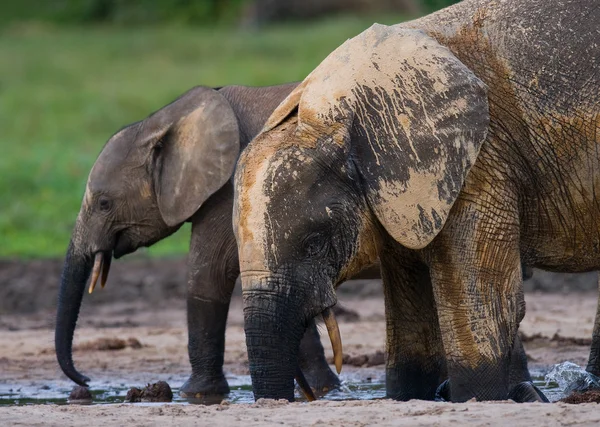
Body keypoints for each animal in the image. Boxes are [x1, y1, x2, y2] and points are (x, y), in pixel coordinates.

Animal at [55, 83, 352, 398]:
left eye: (104, 204)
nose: (85, 380)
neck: (171, 117)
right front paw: (323, 389)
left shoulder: (230, 190)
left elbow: (209, 275)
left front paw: (195, 394)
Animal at [233, 0, 600, 404]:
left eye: (313, 243)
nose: (307, 396)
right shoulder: (401, 196)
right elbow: (412, 314)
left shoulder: (480, 161)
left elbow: (484, 305)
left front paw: (480, 397)